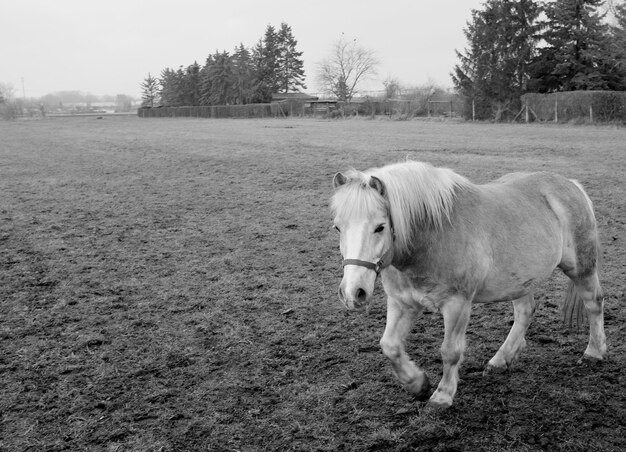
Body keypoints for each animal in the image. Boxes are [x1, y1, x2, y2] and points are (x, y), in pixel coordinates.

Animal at [330, 161, 604, 408]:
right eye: (337, 227)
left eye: (380, 227)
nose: (353, 293)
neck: (432, 236)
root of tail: (572, 185)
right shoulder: (402, 303)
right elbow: (389, 346)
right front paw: (418, 384)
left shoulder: (457, 304)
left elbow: (450, 351)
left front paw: (442, 396)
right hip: (520, 281)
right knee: (525, 312)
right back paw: (501, 359)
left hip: (581, 268)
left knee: (594, 303)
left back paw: (594, 352)